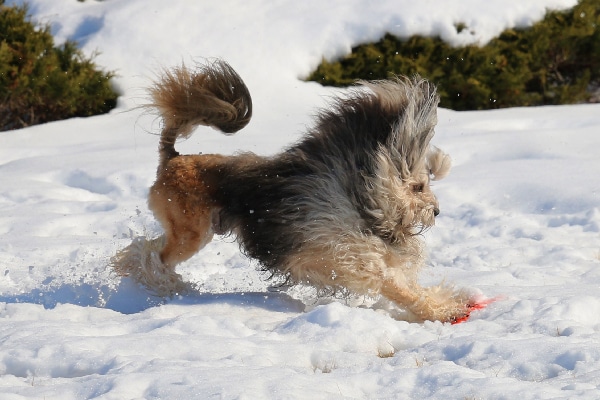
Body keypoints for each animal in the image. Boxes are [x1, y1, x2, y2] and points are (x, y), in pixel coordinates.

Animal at [110, 58, 480, 322]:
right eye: (418, 187)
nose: (436, 211)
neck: (358, 199)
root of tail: (173, 157)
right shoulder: (348, 258)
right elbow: (397, 286)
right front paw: (443, 312)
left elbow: (407, 284)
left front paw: (453, 302)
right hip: (191, 233)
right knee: (150, 254)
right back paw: (161, 284)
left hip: (193, 231)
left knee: (142, 249)